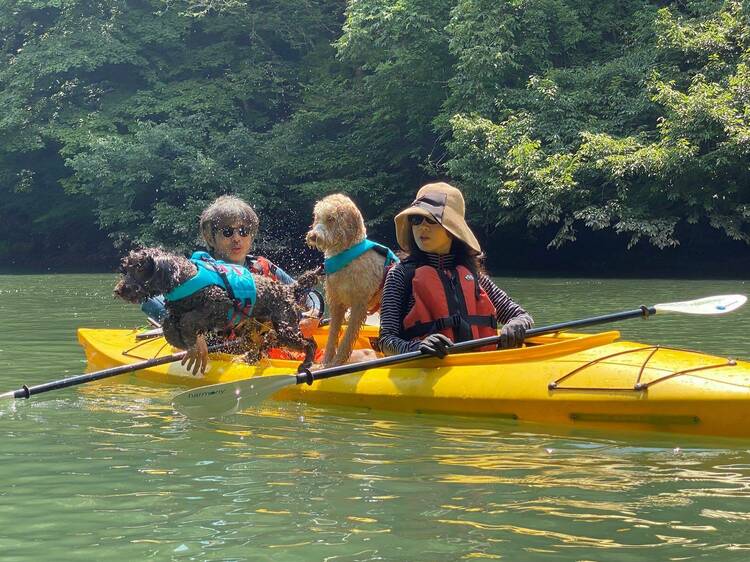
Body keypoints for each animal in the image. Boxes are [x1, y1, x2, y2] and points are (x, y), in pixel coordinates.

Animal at [306, 195, 400, 366]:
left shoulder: (359, 306)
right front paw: (325, 363)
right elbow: (332, 336)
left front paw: (336, 363)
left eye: (331, 218)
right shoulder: (336, 302)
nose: (313, 236)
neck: (347, 256)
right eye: (317, 217)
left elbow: (347, 339)